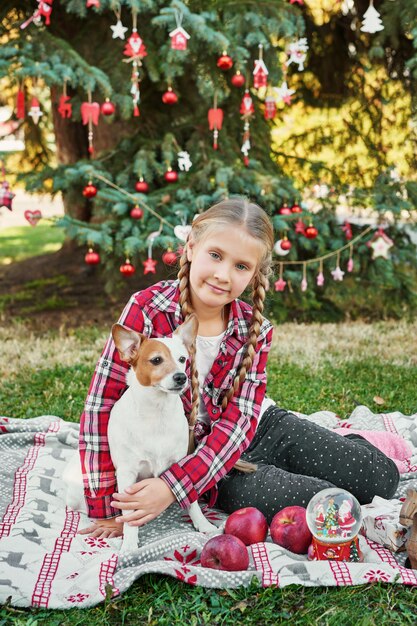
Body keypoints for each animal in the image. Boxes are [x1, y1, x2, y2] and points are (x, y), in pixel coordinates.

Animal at [65, 314, 218, 548]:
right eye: (156, 360)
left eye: (183, 359)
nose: (181, 377)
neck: (157, 412)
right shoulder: (127, 474)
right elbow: (128, 515)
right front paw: (129, 545)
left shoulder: (178, 464)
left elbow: (190, 498)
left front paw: (203, 524)